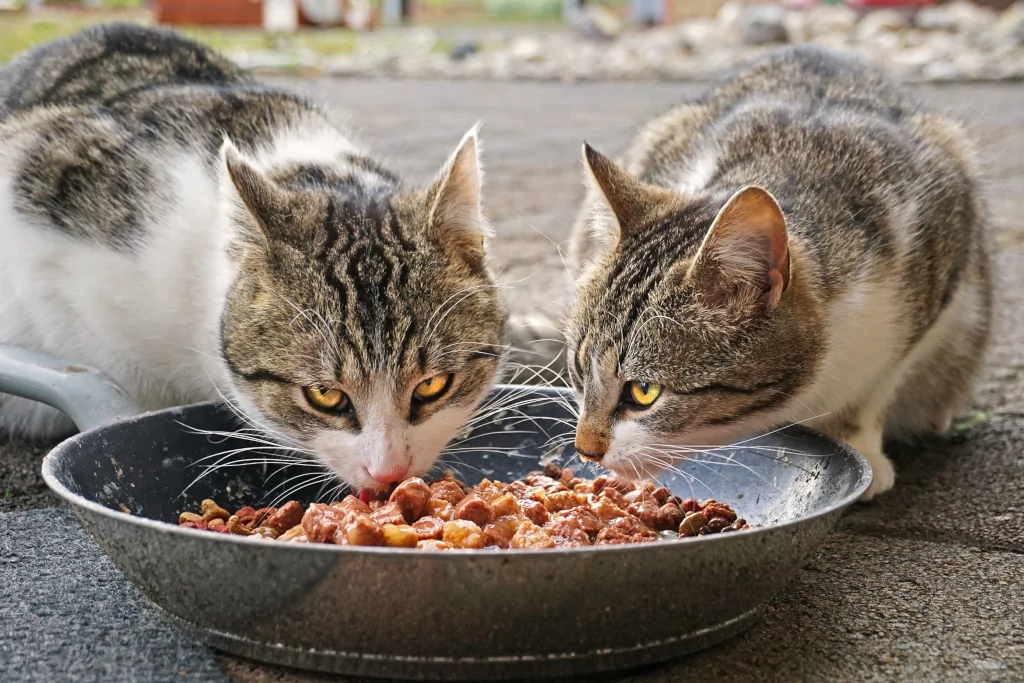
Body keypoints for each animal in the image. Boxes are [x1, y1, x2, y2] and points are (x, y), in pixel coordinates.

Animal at [561, 46, 991, 497]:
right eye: (579, 370)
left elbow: (876, 386)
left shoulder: (941, 247)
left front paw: (859, 444)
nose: (585, 450)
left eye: (644, 392)